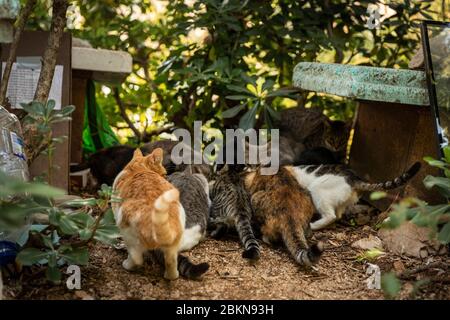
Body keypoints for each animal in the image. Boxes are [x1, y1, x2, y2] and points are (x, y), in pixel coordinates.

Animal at [112, 148, 185, 280]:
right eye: (164, 174)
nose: (167, 178)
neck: (136, 169)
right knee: (171, 262)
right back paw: (171, 275)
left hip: (126, 230)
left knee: (137, 259)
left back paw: (127, 265)